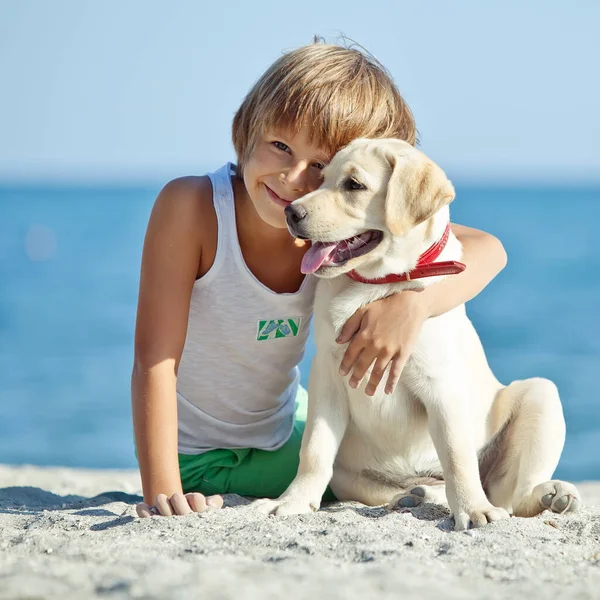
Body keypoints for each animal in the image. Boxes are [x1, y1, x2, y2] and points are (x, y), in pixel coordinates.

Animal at [254, 137, 580, 528]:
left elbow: (456, 455)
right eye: (322, 178)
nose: (291, 213)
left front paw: (474, 509)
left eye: (354, 185)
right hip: (351, 476)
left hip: (541, 394)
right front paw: (293, 501)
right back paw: (415, 494)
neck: (378, 286)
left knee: (512, 496)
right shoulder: (327, 375)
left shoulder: (441, 384)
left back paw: (550, 496)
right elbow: (315, 448)